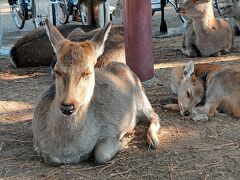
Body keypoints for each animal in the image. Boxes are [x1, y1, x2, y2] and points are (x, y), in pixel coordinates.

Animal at [31, 19, 160, 166]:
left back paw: (152, 140)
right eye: (56, 70)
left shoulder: (109, 129)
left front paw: (126, 138)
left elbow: (100, 154)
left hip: (142, 97)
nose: (67, 107)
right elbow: (52, 160)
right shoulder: (37, 142)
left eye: (87, 72)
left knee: (155, 115)